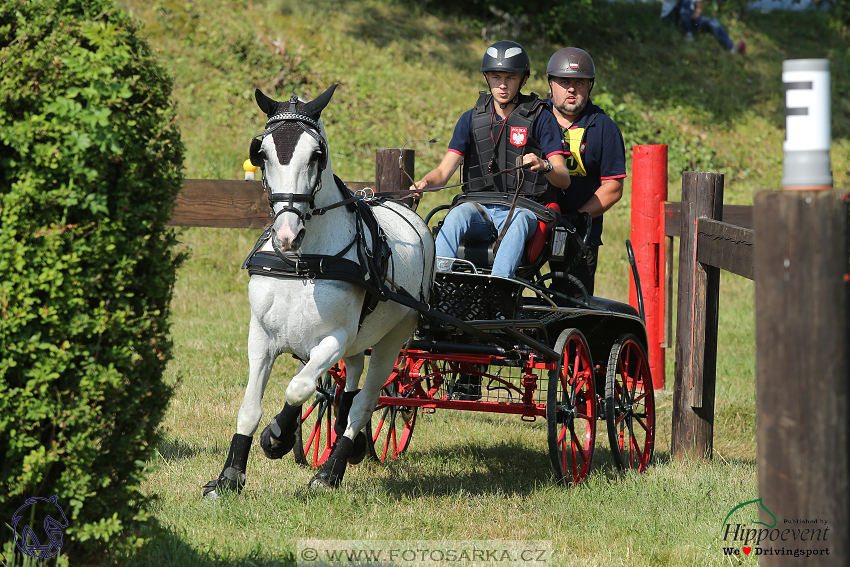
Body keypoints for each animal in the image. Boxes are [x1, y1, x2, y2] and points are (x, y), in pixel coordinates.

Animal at [204, 84, 430, 496]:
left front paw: (278, 435)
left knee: (365, 402)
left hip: (391, 340)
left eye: (316, 154)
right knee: (350, 382)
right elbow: (250, 408)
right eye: (262, 153)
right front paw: (230, 476)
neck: (303, 262)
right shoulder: (260, 335)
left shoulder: (334, 339)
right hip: (360, 342)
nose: (287, 234)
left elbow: (299, 386)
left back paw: (331, 471)